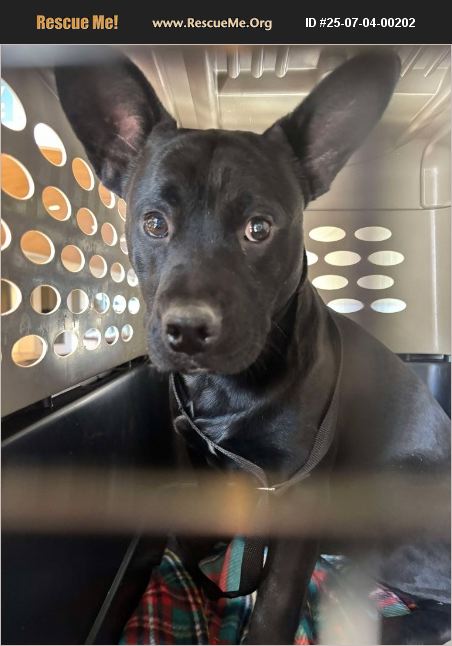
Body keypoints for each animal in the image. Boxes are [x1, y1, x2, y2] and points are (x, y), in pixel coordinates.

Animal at [56, 48, 450, 644]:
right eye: (153, 223)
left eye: (259, 228)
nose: (188, 330)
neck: (226, 388)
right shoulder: (195, 455)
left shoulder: (300, 493)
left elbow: (276, 600)